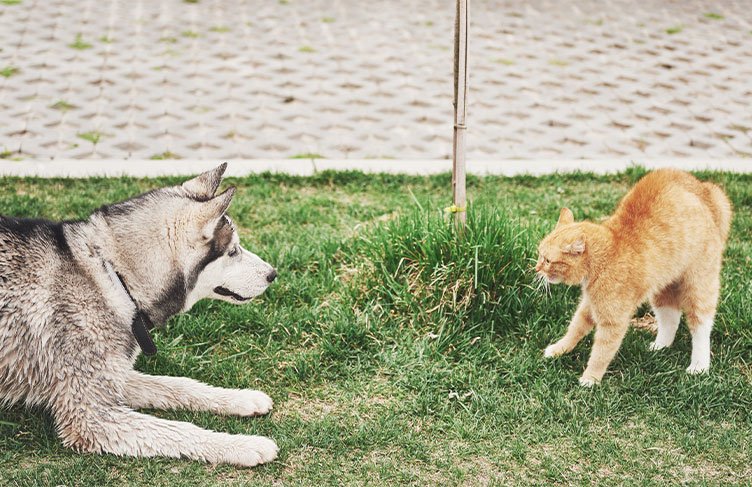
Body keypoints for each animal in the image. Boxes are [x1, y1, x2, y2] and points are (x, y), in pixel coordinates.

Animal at [0, 165, 280, 468]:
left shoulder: (115, 375)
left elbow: (178, 385)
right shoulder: (90, 417)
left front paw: (240, 398)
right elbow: (178, 431)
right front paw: (243, 444)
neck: (114, 278)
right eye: (233, 251)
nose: (273, 274)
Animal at [536, 170, 732, 386]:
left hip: (699, 286)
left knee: (701, 326)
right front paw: (559, 349)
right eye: (539, 254)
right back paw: (660, 346)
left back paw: (699, 366)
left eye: (547, 260)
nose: (536, 269)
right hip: (663, 287)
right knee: (670, 317)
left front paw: (590, 378)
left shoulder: (613, 321)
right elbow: (575, 328)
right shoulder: (589, 306)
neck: (609, 252)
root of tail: (705, 189)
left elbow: (601, 353)